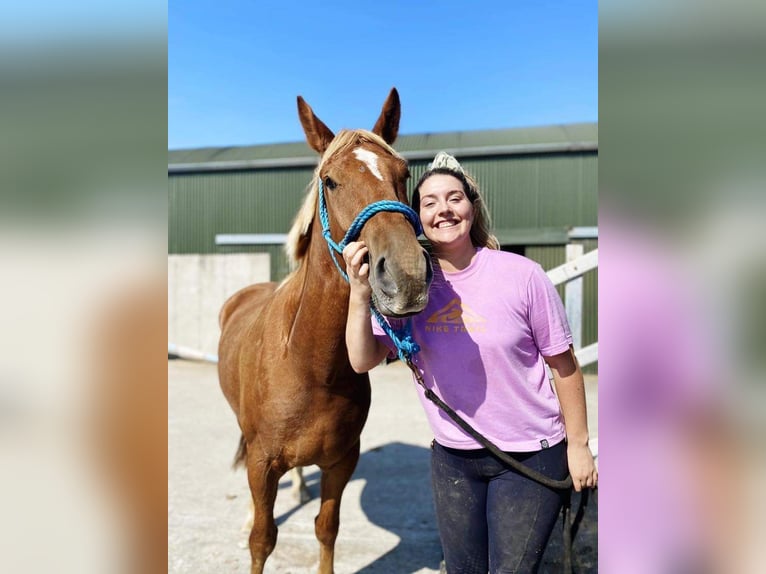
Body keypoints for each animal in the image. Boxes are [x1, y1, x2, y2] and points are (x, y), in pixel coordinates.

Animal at [219, 88, 436, 572]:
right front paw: (252, 525)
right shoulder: (262, 463)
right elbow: (262, 539)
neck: (310, 366)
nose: (408, 276)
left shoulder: (342, 461)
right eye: (331, 181)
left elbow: (326, 528)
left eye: (403, 174)